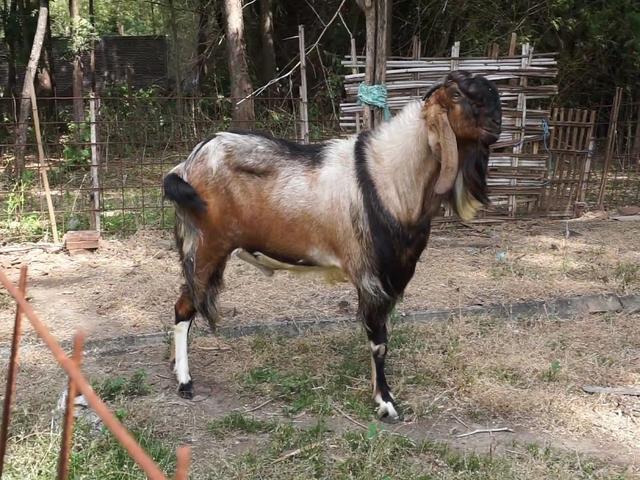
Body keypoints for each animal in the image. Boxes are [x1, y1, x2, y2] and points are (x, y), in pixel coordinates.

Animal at [163, 70, 502, 420]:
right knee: (184, 307)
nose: (498, 124)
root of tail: (185, 167)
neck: (388, 178)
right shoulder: (372, 277)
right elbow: (378, 341)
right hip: (206, 249)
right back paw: (185, 382)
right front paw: (385, 402)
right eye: (459, 96)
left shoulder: (393, 275)